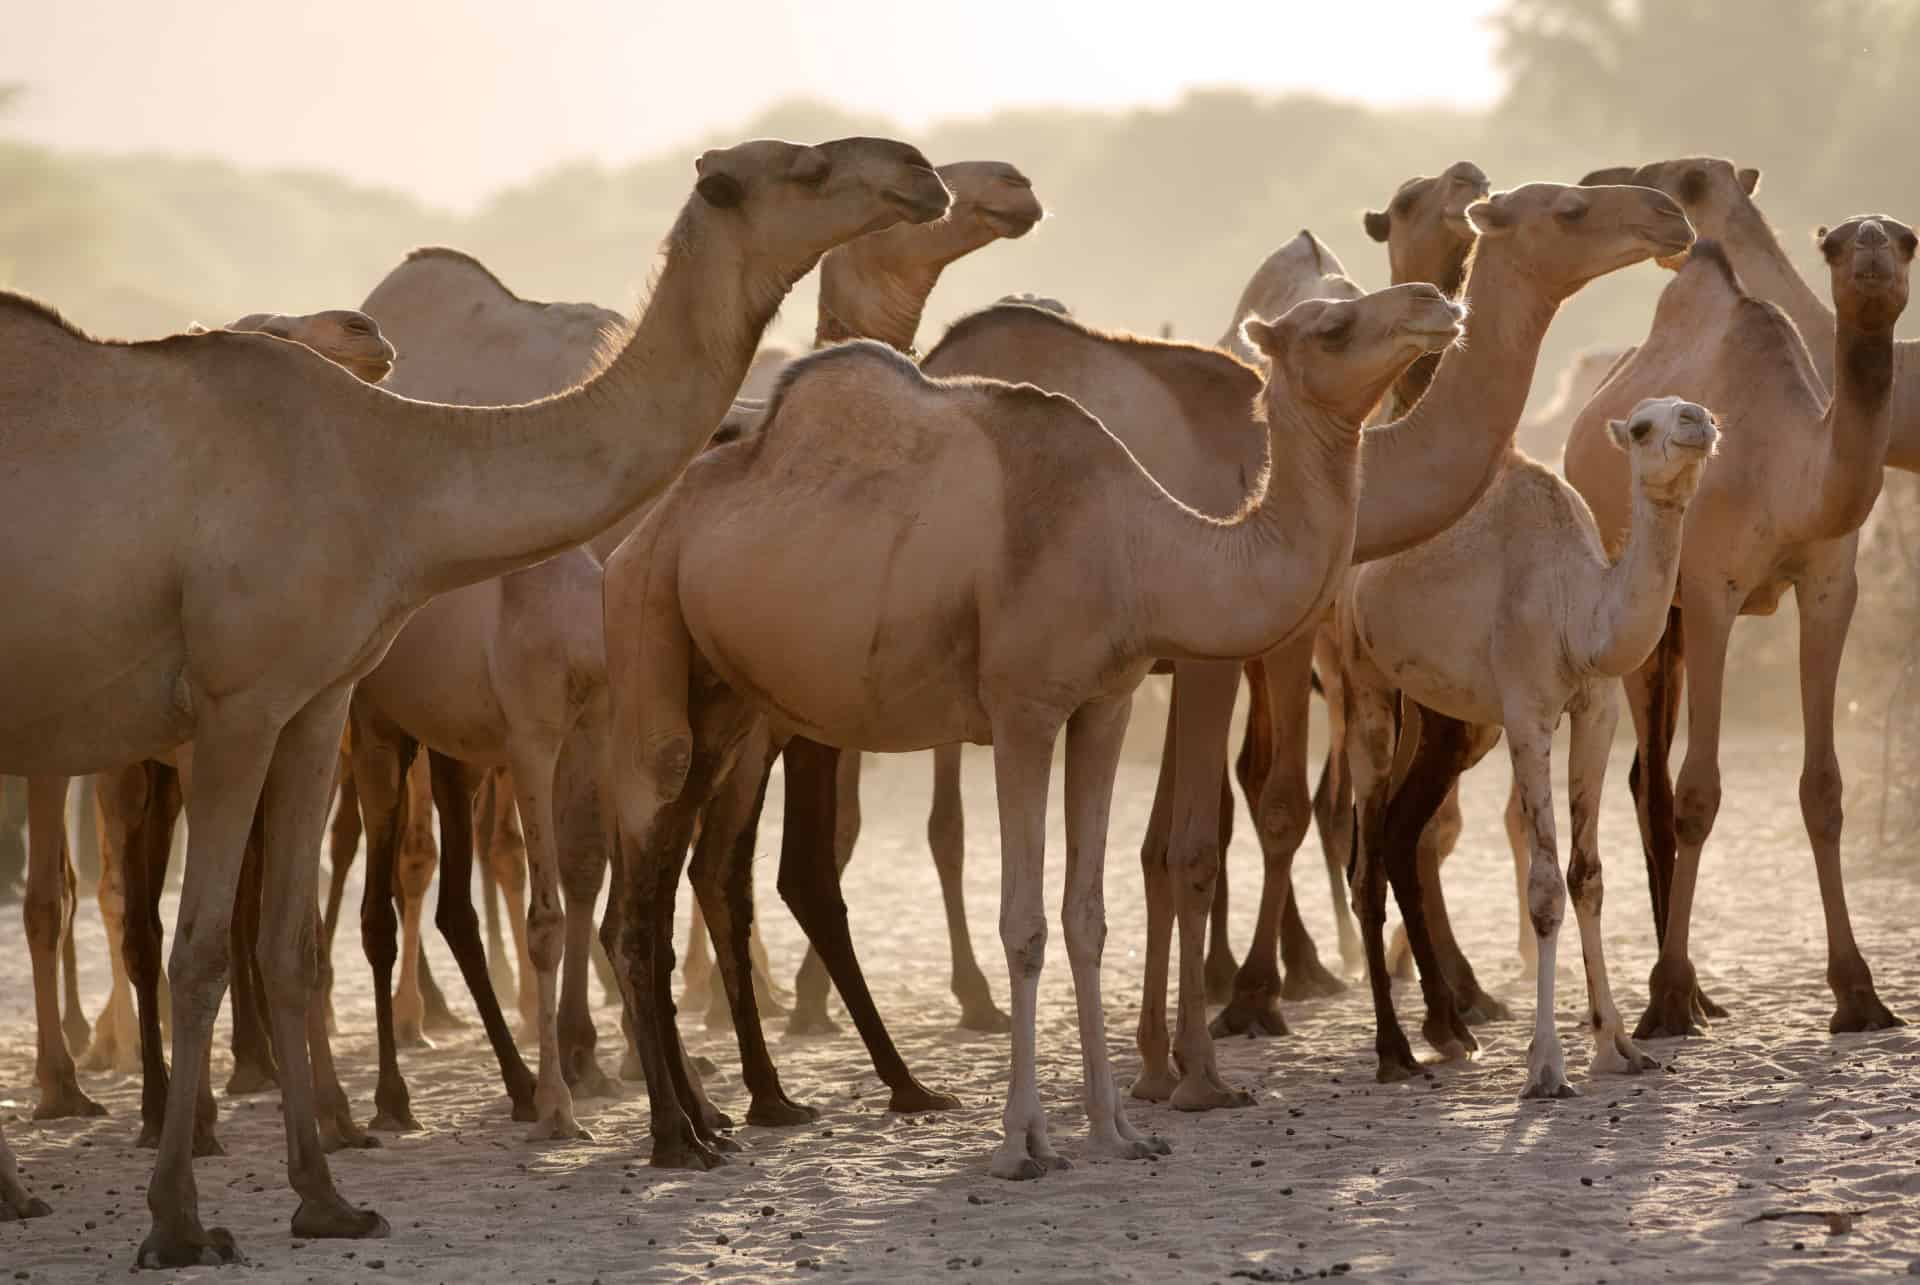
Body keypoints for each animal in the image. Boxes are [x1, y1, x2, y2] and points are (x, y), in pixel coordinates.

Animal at [0, 135, 948, 1260]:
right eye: (802, 165)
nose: (920, 170)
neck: (387, 470)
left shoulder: (315, 699)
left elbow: (287, 943)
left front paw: (325, 1199)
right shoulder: (236, 700)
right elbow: (201, 951)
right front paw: (181, 1222)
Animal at [606, 280, 1459, 1175]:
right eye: (1334, 323)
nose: (1436, 302)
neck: (1140, 547)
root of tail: (642, 531)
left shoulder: (1106, 703)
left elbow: (1087, 914)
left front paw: (1117, 1127)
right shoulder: (1023, 710)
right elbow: (1023, 922)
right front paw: (1025, 1140)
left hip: (727, 696)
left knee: (671, 873)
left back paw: (711, 1121)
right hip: (645, 618)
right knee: (641, 876)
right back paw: (676, 1134)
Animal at [1336, 395, 1728, 1091]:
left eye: (1692, 409)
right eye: (1642, 427)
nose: (1696, 419)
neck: (1580, 610)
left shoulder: (1596, 711)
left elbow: (1587, 876)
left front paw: (1618, 1047)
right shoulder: (1528, 714)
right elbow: (1545, 887)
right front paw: (1546, 1066)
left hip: (1450, 716)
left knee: (1403, 831)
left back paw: (1451, 1030)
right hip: (1363, 678)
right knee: (1367, 861)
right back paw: (1393, 1051)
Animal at [1566, 215, 1912, 1037]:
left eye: (1908, 238)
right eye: (1836, 244)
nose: (1872, 239)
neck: (1787, 471)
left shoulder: (1831, 588)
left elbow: (1824, 788)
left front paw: (1858, 993)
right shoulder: (1711, 590)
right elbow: (1698, 792)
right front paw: (1665, 997)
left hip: (1673, 626)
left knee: (1645, 774)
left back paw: (1702, 993)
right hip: (1647, 611)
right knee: (1656, 783)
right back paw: (1675, 993)